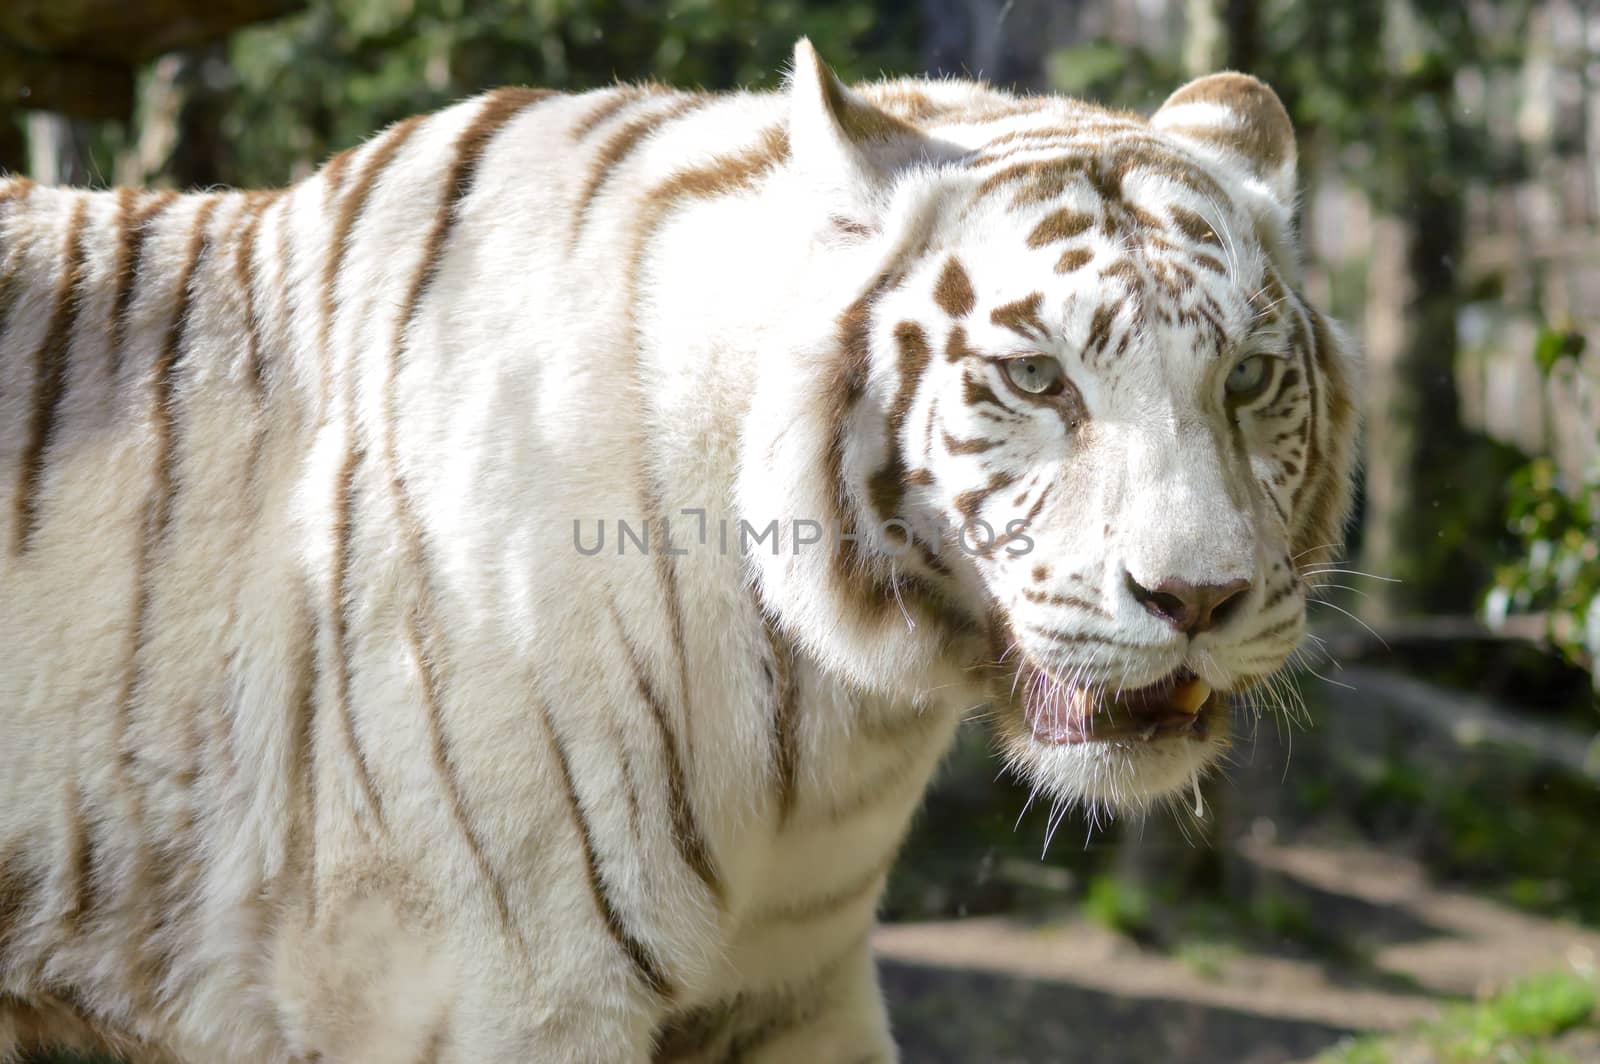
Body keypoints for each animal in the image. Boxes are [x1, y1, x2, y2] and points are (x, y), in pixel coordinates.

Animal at [0, 41, 1356, 1062]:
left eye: (1247, 378)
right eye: (1036, 377)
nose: (1197, 596)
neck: (834, 712)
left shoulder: (793, 988)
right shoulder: (498, 995)